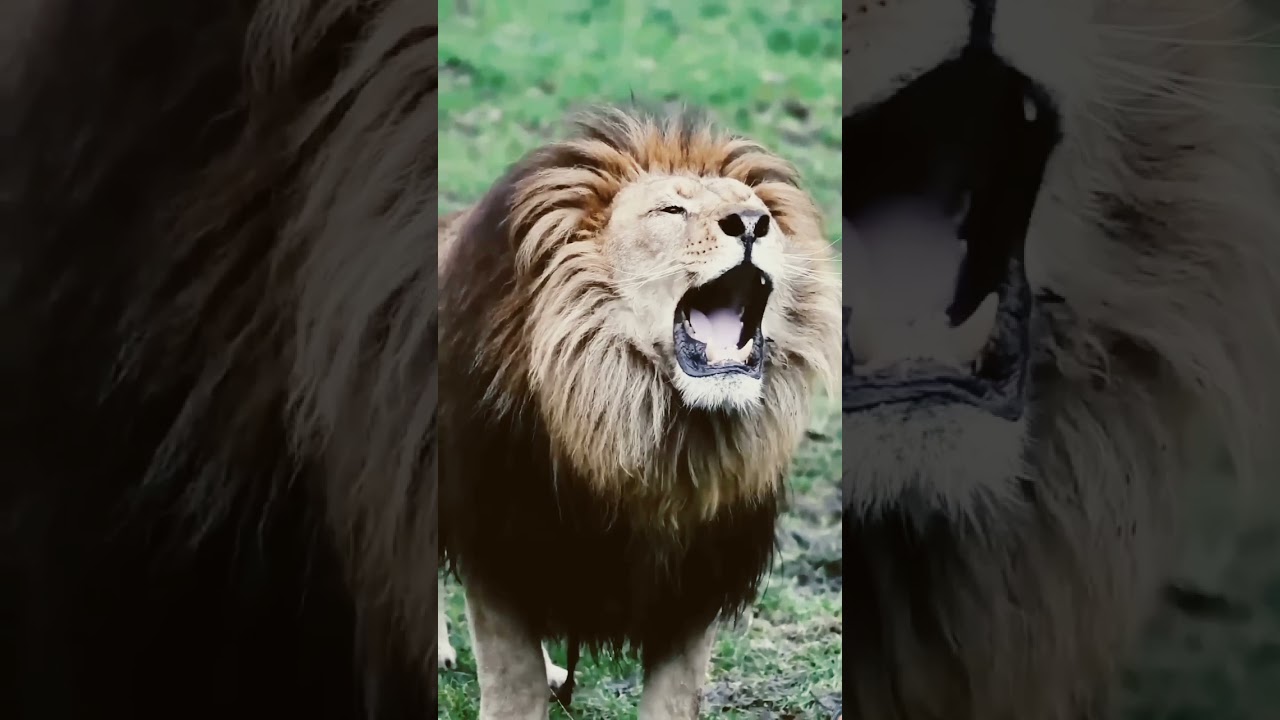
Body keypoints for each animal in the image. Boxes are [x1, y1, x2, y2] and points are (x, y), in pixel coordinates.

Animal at [437, 107, 841, 718]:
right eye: (671, 211)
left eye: (766, 216)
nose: (751, 224)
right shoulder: (500, 552)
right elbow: (513, 687)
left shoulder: (694, 587)